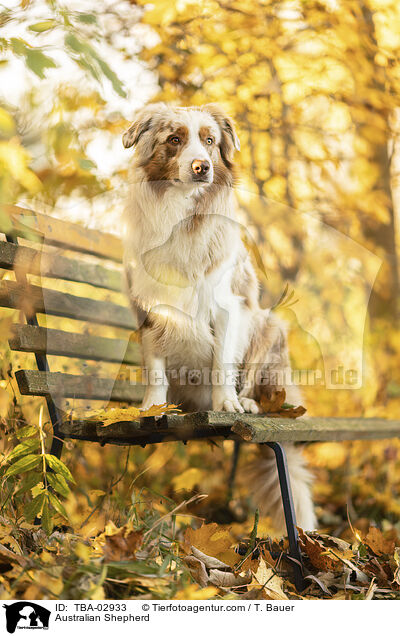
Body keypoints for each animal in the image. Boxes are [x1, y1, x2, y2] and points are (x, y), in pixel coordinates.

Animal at [122, 103, 316, 532]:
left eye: (210, 141)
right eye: (174, 139)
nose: (202, 167)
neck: (182, 215)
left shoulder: (229, 306)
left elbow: (221, 362)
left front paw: (226, 403)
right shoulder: (150, 308)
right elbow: (155, 369)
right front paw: (152, 407)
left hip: (270, 326)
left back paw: (248, 403)